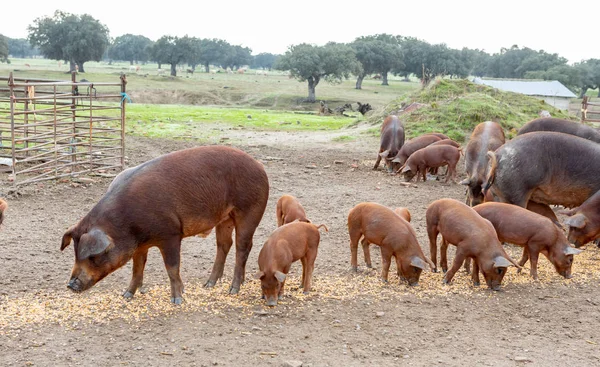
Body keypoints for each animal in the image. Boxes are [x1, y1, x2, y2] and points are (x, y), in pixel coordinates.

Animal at [59, 147, 270, 304]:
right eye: (75, 253)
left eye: (93, 256)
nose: (70, 285)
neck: (127, 223)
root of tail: (259, 165)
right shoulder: (139, 246)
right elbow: (137, 268)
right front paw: (126, 296)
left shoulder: (171, 235)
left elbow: (172, 267)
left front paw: (177, 300)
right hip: (224, 219)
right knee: (224, 245)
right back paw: (209, 284)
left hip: (250, 211)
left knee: (242, 247)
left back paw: (233, 290)